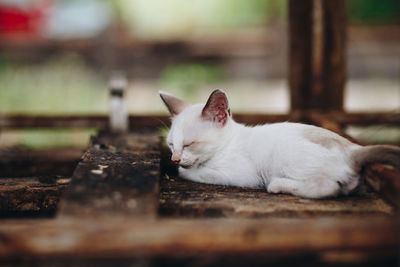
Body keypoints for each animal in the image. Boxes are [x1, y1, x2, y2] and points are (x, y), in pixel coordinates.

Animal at [159, 89, 400, 199]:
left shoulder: (240, 174)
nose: (175, 158)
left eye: (189, 144)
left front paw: (182, 169)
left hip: (283, 157)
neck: (227, 145)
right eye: (171, 144)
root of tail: (353, 149)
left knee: (329, 188)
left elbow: (187, 172)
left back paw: (277, 185)